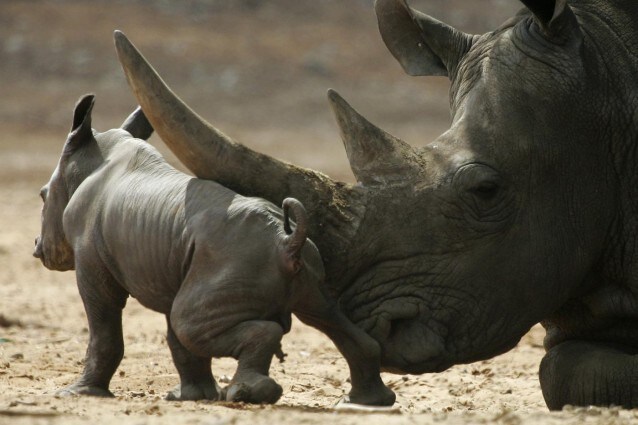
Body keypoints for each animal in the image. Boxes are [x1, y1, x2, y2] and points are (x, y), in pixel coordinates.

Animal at [35, 94, 398, 406]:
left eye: (41, 196)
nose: (38, 248)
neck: (89, 161)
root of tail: (285, 242)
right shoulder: (176, 264)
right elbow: (177, 342)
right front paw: (190, 397)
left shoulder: (91, 261)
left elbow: (106, 325)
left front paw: (77, 393)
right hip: (302, 266)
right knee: (324, 313)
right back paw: (367, 403)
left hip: (240, 260)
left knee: (189, 322)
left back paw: (245, 395)